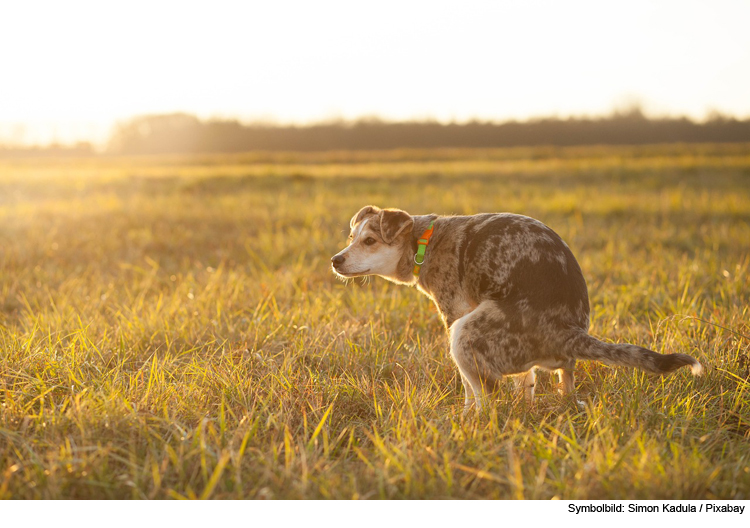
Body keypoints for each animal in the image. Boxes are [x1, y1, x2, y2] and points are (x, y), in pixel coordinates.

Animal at [332, 206, 704, 412]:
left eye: (369, 241)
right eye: (350, 237)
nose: (335, 260)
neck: (424, 241)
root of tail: (569, 332)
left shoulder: (454, 314)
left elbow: (469, 390)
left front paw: (465, 417)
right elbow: (526, 382)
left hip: (464, 333)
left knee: (486, 396)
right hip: (553, 364)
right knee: (563, 384)